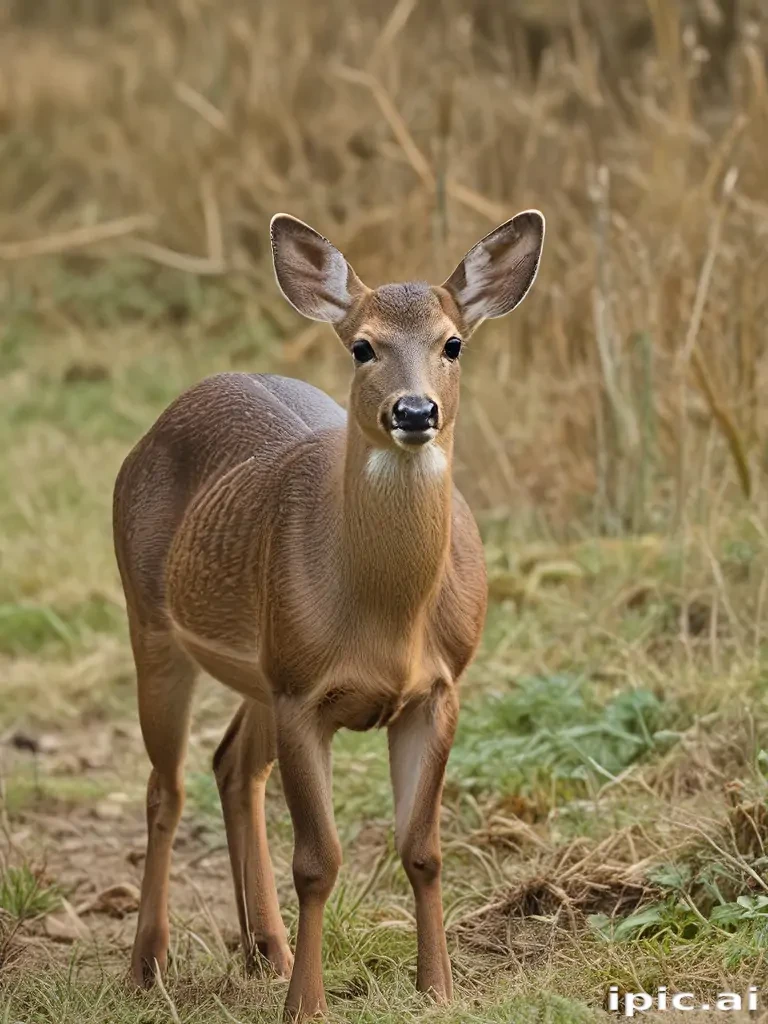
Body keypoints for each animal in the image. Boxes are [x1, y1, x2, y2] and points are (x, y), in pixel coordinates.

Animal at [112, 208, 545, 1020]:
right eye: (362, 345)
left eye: (453, 342)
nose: (415, 410)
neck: (387, 619)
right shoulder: (303, 692)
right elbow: (317, 860)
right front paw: (307, 1005)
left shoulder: (437, 689)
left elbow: (423, 848)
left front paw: (437, 988)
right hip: (152, 622)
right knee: (166, 786)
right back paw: (147, 964)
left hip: (259, 667)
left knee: (230, 766)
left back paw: (265, 950)